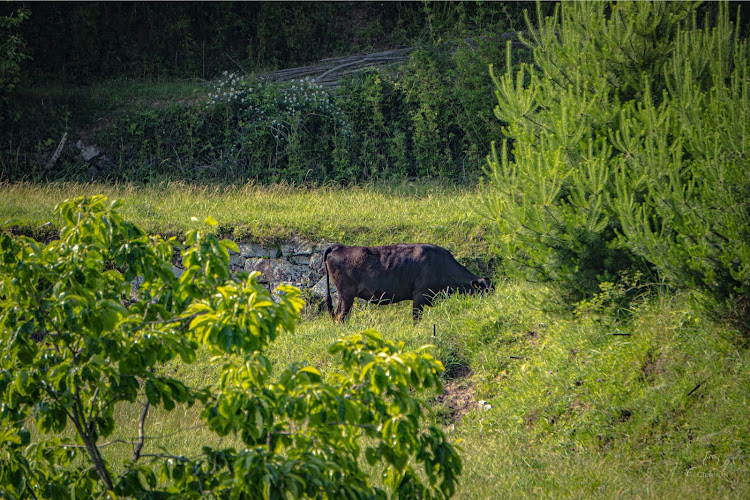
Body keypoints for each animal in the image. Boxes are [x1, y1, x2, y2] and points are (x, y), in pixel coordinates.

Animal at [324, 244, 494, 322]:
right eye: (483, 291)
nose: (491, 306)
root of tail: (338, 246)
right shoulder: (419, 296)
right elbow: (416, 319)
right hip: (346, 295)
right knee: (341, 317)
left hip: (343, 297)